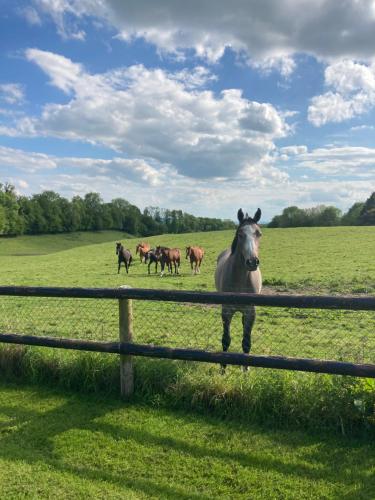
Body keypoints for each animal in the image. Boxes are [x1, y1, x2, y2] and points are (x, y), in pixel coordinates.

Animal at [216, 208, 262, 372]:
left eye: (259, 233)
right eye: (240, 234)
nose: (252, 262)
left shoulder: (250, 312)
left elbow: (246, 341)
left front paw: (246, 370)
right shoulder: (226, 311)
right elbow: (225, 339)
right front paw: (223, 368)